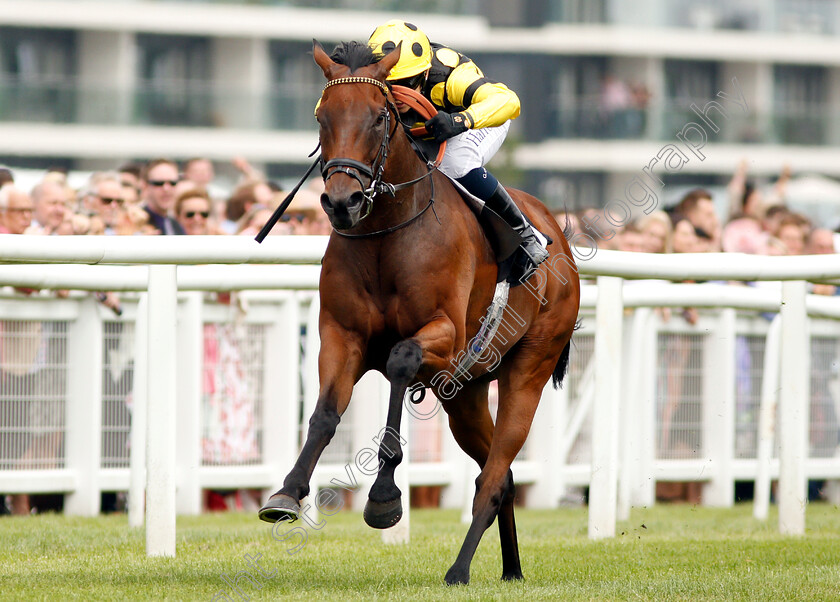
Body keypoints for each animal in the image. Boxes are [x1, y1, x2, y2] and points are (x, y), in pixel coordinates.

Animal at [260, 39, 580, 584]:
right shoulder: (341, 334)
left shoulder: (445, 336)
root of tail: (559, 240)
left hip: (528, 370)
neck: (386, 236)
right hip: (464, 396)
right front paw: (287, 492)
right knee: (503, 476)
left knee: (493, 477)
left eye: (379, 118)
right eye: (322, 116)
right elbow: (325, 413)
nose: (343, 201)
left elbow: (400, 360)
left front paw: (384, 497)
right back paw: (511, 570)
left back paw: (459, 570)